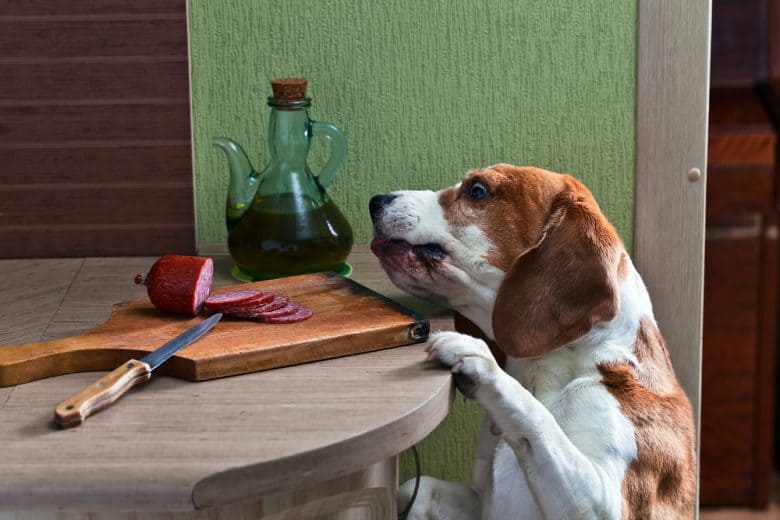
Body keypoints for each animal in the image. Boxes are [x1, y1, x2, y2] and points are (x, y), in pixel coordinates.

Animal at [368, 166, 696, 520]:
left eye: (477, 190)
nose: (375, 201)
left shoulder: (605, 504)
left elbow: (536, 418)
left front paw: (480, 360)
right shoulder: (480, 502)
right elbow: (415, 490)